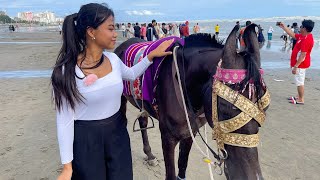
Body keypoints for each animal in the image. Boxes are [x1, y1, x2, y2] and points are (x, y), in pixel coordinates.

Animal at [115, 23, 270, 180]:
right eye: (224, 107)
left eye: (265, 108)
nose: (252, 176)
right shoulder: (167, 137)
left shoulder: (190, 133)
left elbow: (182, 167)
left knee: (143, 121)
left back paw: (149, 154)